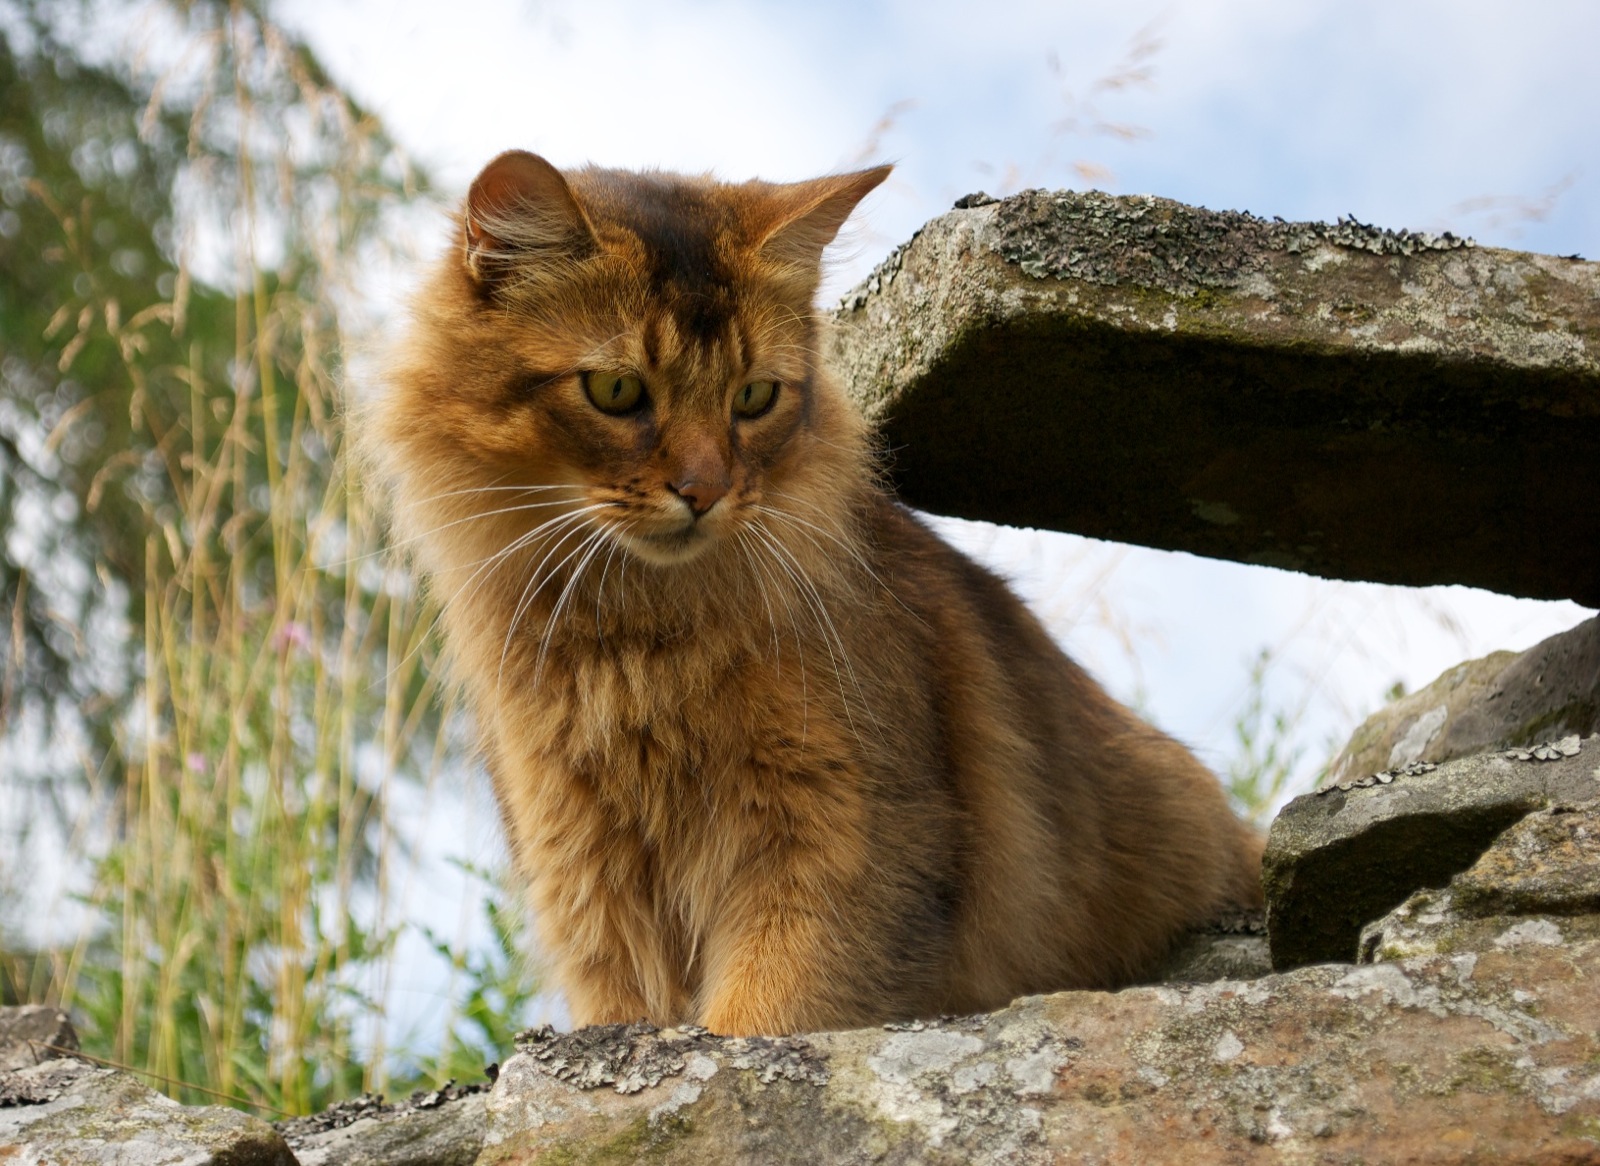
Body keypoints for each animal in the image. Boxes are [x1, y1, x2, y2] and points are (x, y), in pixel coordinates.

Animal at [366, 147, 1260, 1036]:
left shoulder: (843, 849)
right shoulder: (587, 880)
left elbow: (756, 1021)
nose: (704, 492)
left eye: (753, 397)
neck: (638, 641)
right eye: (616, 391)